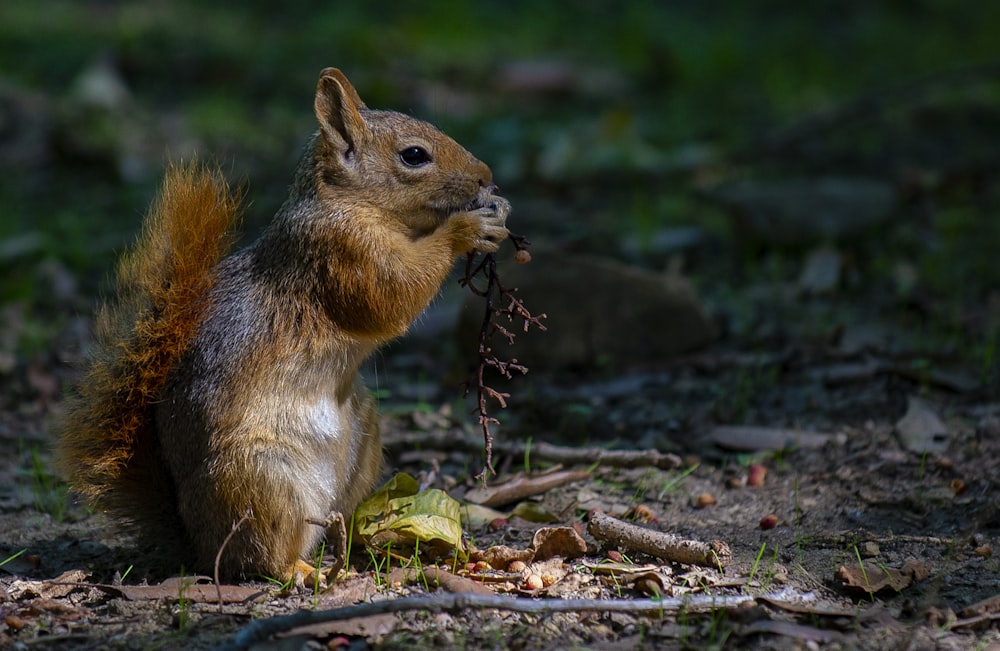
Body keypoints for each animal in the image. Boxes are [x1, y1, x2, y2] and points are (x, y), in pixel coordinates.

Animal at [56, 67, 508, 580]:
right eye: (414, 155)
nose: (486, 176)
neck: (353, 203)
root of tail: (196, 543)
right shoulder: (340, 252)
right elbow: (391, 294)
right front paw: (467, 228)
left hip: (364, 438)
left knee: (336, 522)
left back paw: (367, 545)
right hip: (262, 480)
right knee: (263, 556)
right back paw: (300, 571)